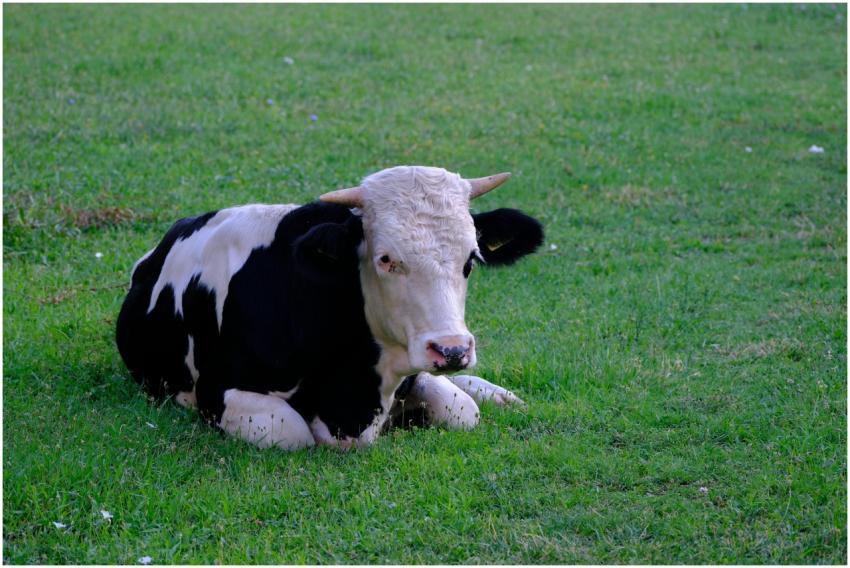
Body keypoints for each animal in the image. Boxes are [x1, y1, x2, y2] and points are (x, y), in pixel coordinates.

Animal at [116, 165, 543, 450]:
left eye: (470, 259)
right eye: (386, 259)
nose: (452, 349)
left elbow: (461, 409)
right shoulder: (217, 388)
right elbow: (292, 432)